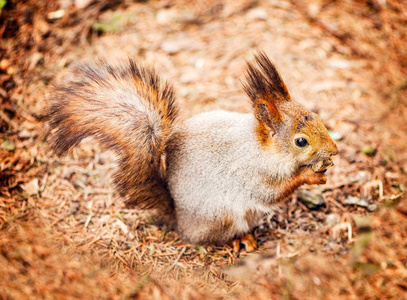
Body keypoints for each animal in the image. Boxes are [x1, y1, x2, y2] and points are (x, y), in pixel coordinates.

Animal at [44, 52, 340, 252]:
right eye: (301, 141)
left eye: (315, 115)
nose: (335, 150)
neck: (261, 148)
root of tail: (180, 220)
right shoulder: (252, 173)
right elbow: (272, 192)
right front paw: (311, 176)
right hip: (221, 216)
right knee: (213, 238)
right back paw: (237, 240)